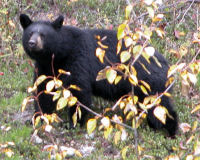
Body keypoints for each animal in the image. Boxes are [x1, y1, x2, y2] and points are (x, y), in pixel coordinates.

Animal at [19, 13, 177, 136]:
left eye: (43, 35)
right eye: (30, 33)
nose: (32, 43)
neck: (59, 55)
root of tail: (167, 64)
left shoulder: (78, 61)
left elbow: (79, 92)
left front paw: (73, 124)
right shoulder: (44, 69)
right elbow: (42, 92)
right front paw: (38, 117)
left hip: (149, 84)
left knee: (160, 108)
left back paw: (171, 132)